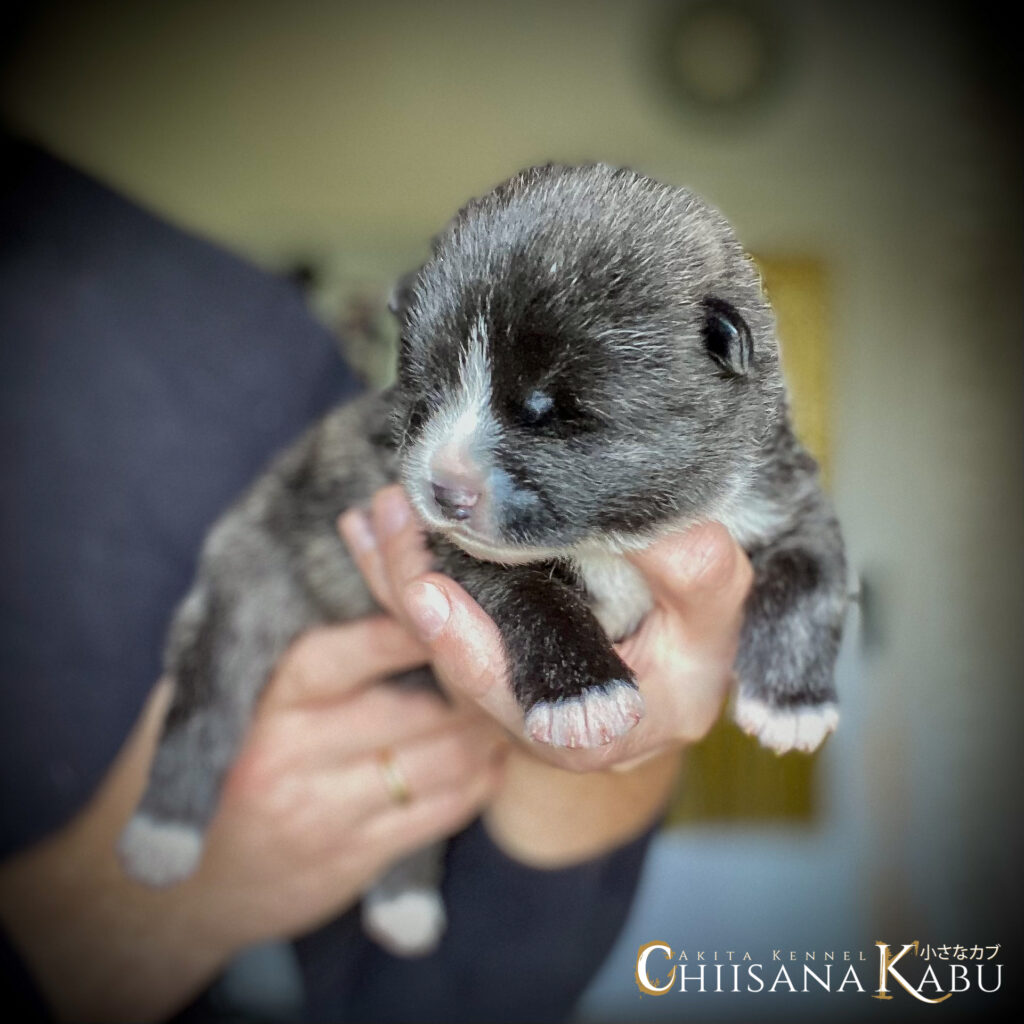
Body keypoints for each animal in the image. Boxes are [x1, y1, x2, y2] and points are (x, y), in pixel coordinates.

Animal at [117, 161, 847, 950]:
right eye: (426, 391)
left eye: (550, 410)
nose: (443, 489)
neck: (616, 538)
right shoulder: (451, 550)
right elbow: (530, 593)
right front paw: (581, 691)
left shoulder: (782, 497)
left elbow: (811, 577)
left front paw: (792, 702)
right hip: (247, 582)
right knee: (207, 699)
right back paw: (162, 836)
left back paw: (403, 905)